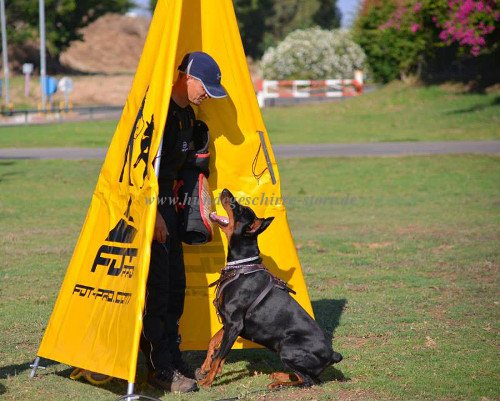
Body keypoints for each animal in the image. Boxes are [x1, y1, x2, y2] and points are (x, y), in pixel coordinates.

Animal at [197, 188, 342, 388]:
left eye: (239, 209)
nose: (225, 191)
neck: (242, 267)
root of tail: (332, 355)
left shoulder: (235, 324)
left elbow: (221, 355)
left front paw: (207, 381)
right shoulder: (228, 322)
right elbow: (213, 342)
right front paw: (205, 367)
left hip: (287, 347)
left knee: (308, 381)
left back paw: (278, 384)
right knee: (308, 377)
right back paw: (279, 375)